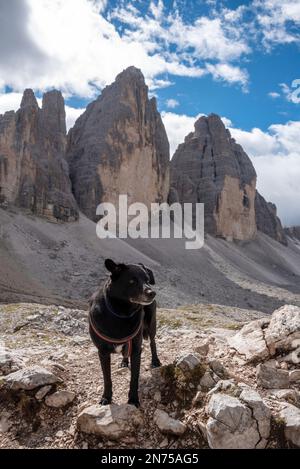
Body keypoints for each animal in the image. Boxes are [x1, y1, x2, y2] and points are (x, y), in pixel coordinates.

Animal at [88, 258, 161, 408]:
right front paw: (106, 398)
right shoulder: (102, 352)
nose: (152, 293)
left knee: (153, 343)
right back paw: (124, 361)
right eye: (132, 281)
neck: (122, 313)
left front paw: (133, 400)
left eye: (147, 279)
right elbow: (107, 378)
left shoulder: (137, 350)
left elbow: (134, 378)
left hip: (151, 324)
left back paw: (155, 361)